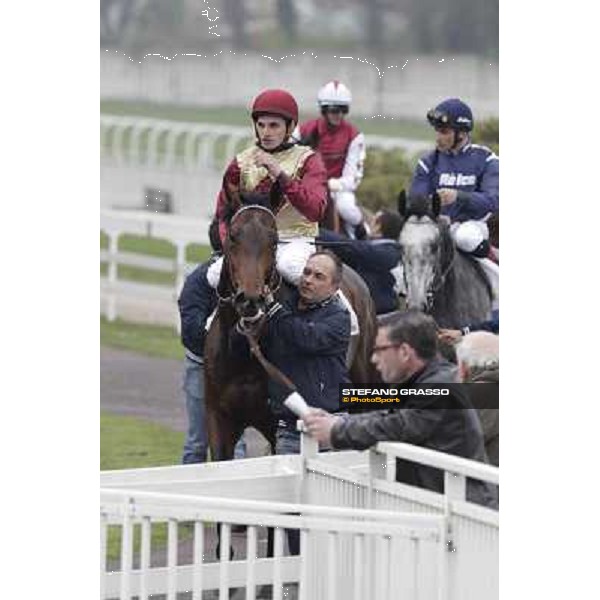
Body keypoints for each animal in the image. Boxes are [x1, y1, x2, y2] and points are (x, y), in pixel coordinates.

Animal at [204, 188, 378, 464]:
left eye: (274, 241)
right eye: (232, 236)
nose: (250, 299)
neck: (243, 353)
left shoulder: (278, 424)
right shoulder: (219, 419)